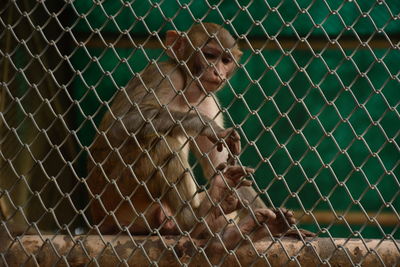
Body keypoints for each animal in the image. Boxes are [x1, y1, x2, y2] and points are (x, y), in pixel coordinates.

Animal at [86, 21, 312, 253]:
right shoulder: (164, 75)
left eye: (226, 60)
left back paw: (231, 231)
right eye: (209, 55)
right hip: (115, 194)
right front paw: (205, 125)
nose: (217, 71)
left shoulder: (208, 102)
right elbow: (121, 123)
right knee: (159, 141)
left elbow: (219, 165)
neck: (188, 92)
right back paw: (195, 220)